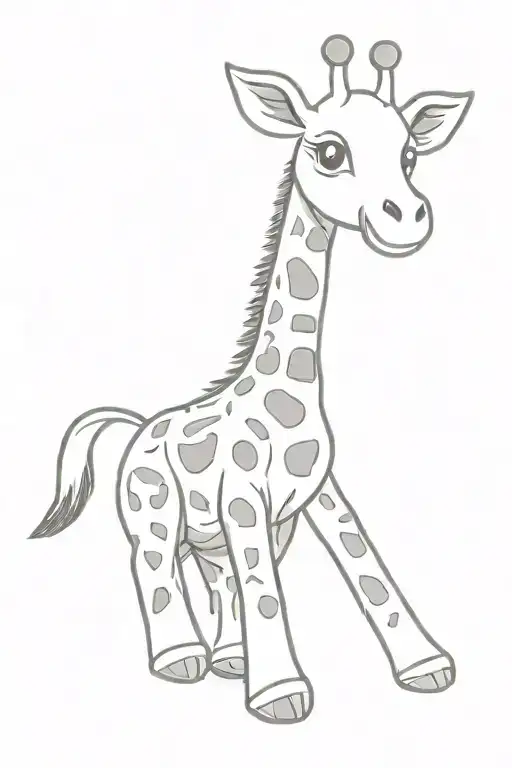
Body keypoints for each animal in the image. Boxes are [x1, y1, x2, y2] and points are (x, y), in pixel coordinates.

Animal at [30, 36, 474, 724]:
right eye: (330, 151)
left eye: (409, 155)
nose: (406, 218)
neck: (288, 396)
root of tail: (137, 426)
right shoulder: (243, 497)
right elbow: (268, 587)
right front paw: (281, 695)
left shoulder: (316, 494)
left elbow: (364, 563)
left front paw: (425, 666)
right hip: (154, 510)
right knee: (152, 562)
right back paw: (182, 659)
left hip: (213, 536)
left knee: (217, 579)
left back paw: (230, 661)